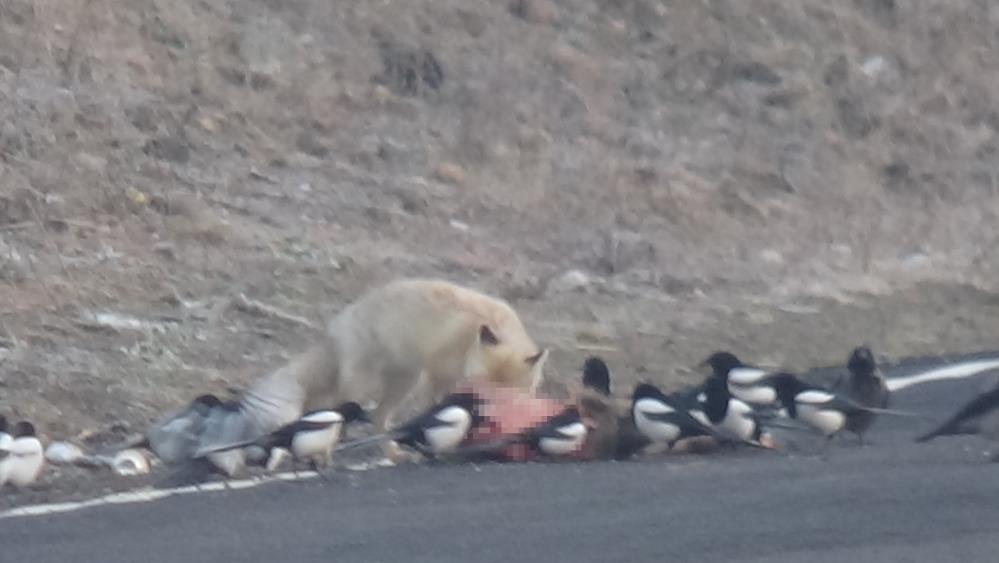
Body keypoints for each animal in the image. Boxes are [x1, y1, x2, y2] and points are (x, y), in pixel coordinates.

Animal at [198, 278, 552, 468]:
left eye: (507, 395)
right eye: (482, 388)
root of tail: (337, 325)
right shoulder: (438, 375)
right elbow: (439, 412)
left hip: (402, 382)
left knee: (377, 419)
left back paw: (391, 453)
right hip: (363, 386)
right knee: (329, 412)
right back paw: (321, 454)